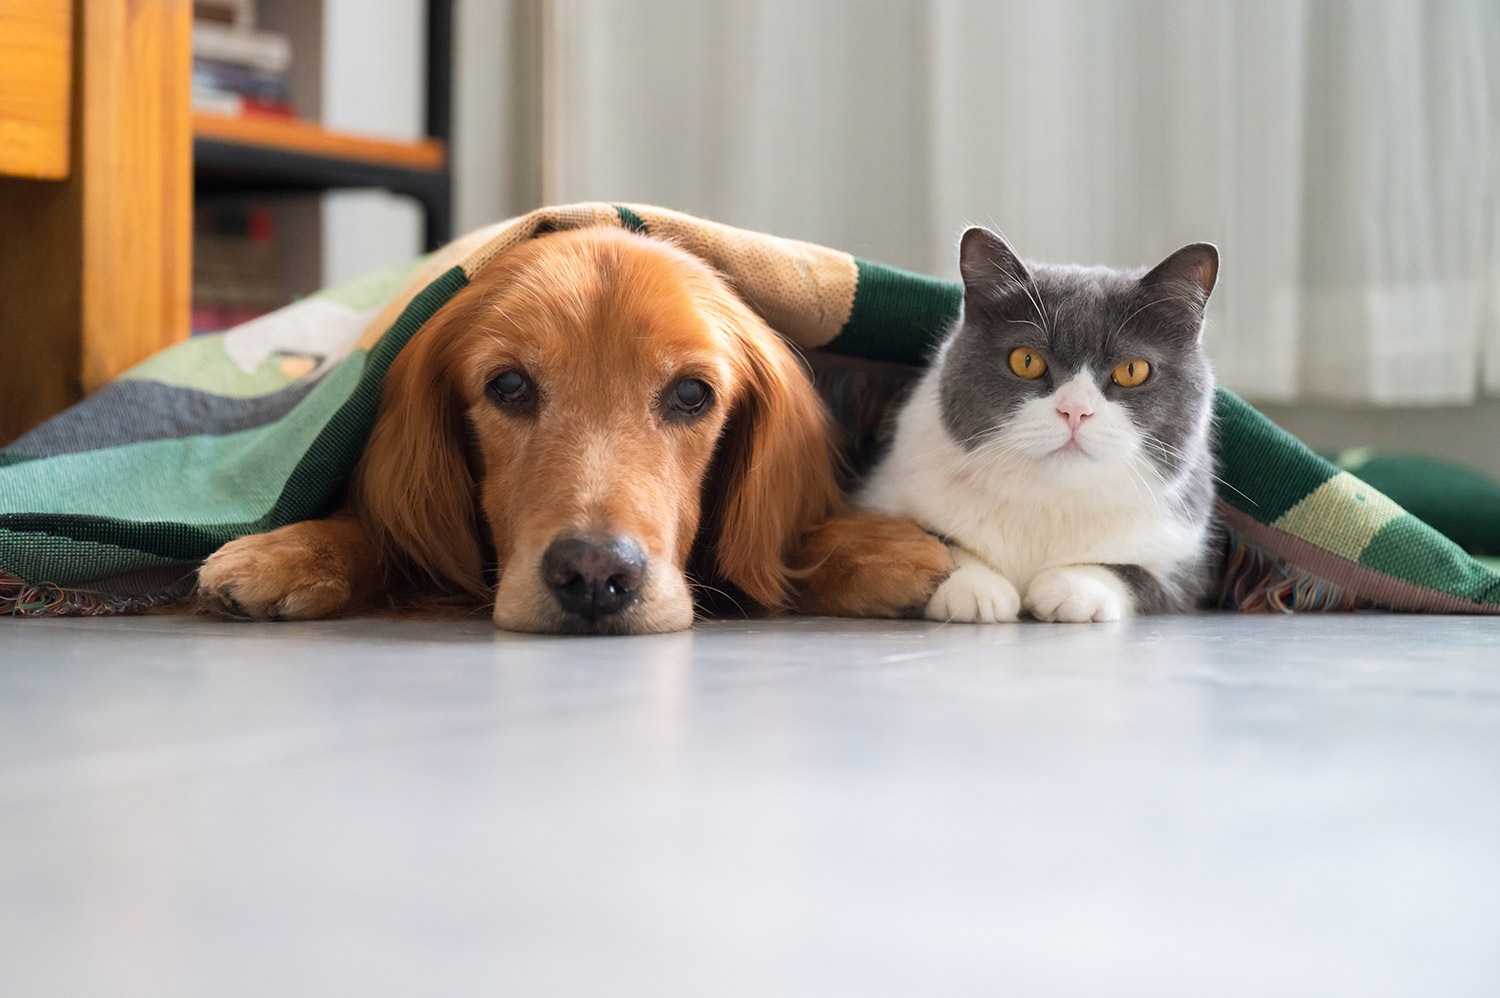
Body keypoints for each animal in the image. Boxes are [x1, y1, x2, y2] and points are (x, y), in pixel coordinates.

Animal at [196, 225, 948, 630]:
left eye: (691, 393)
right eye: (508, 386)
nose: (593, 574)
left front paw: (879, 550)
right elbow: (377, 531)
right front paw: (288, 551)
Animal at [870, 228, 1218, 624]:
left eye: (1132, 370)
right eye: (1026, 360)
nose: (1075, 410)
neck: (1050, 501)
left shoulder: (1186, 561)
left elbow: (1137, 572)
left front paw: (1075, 587)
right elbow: (927, 539)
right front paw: (972, 585)